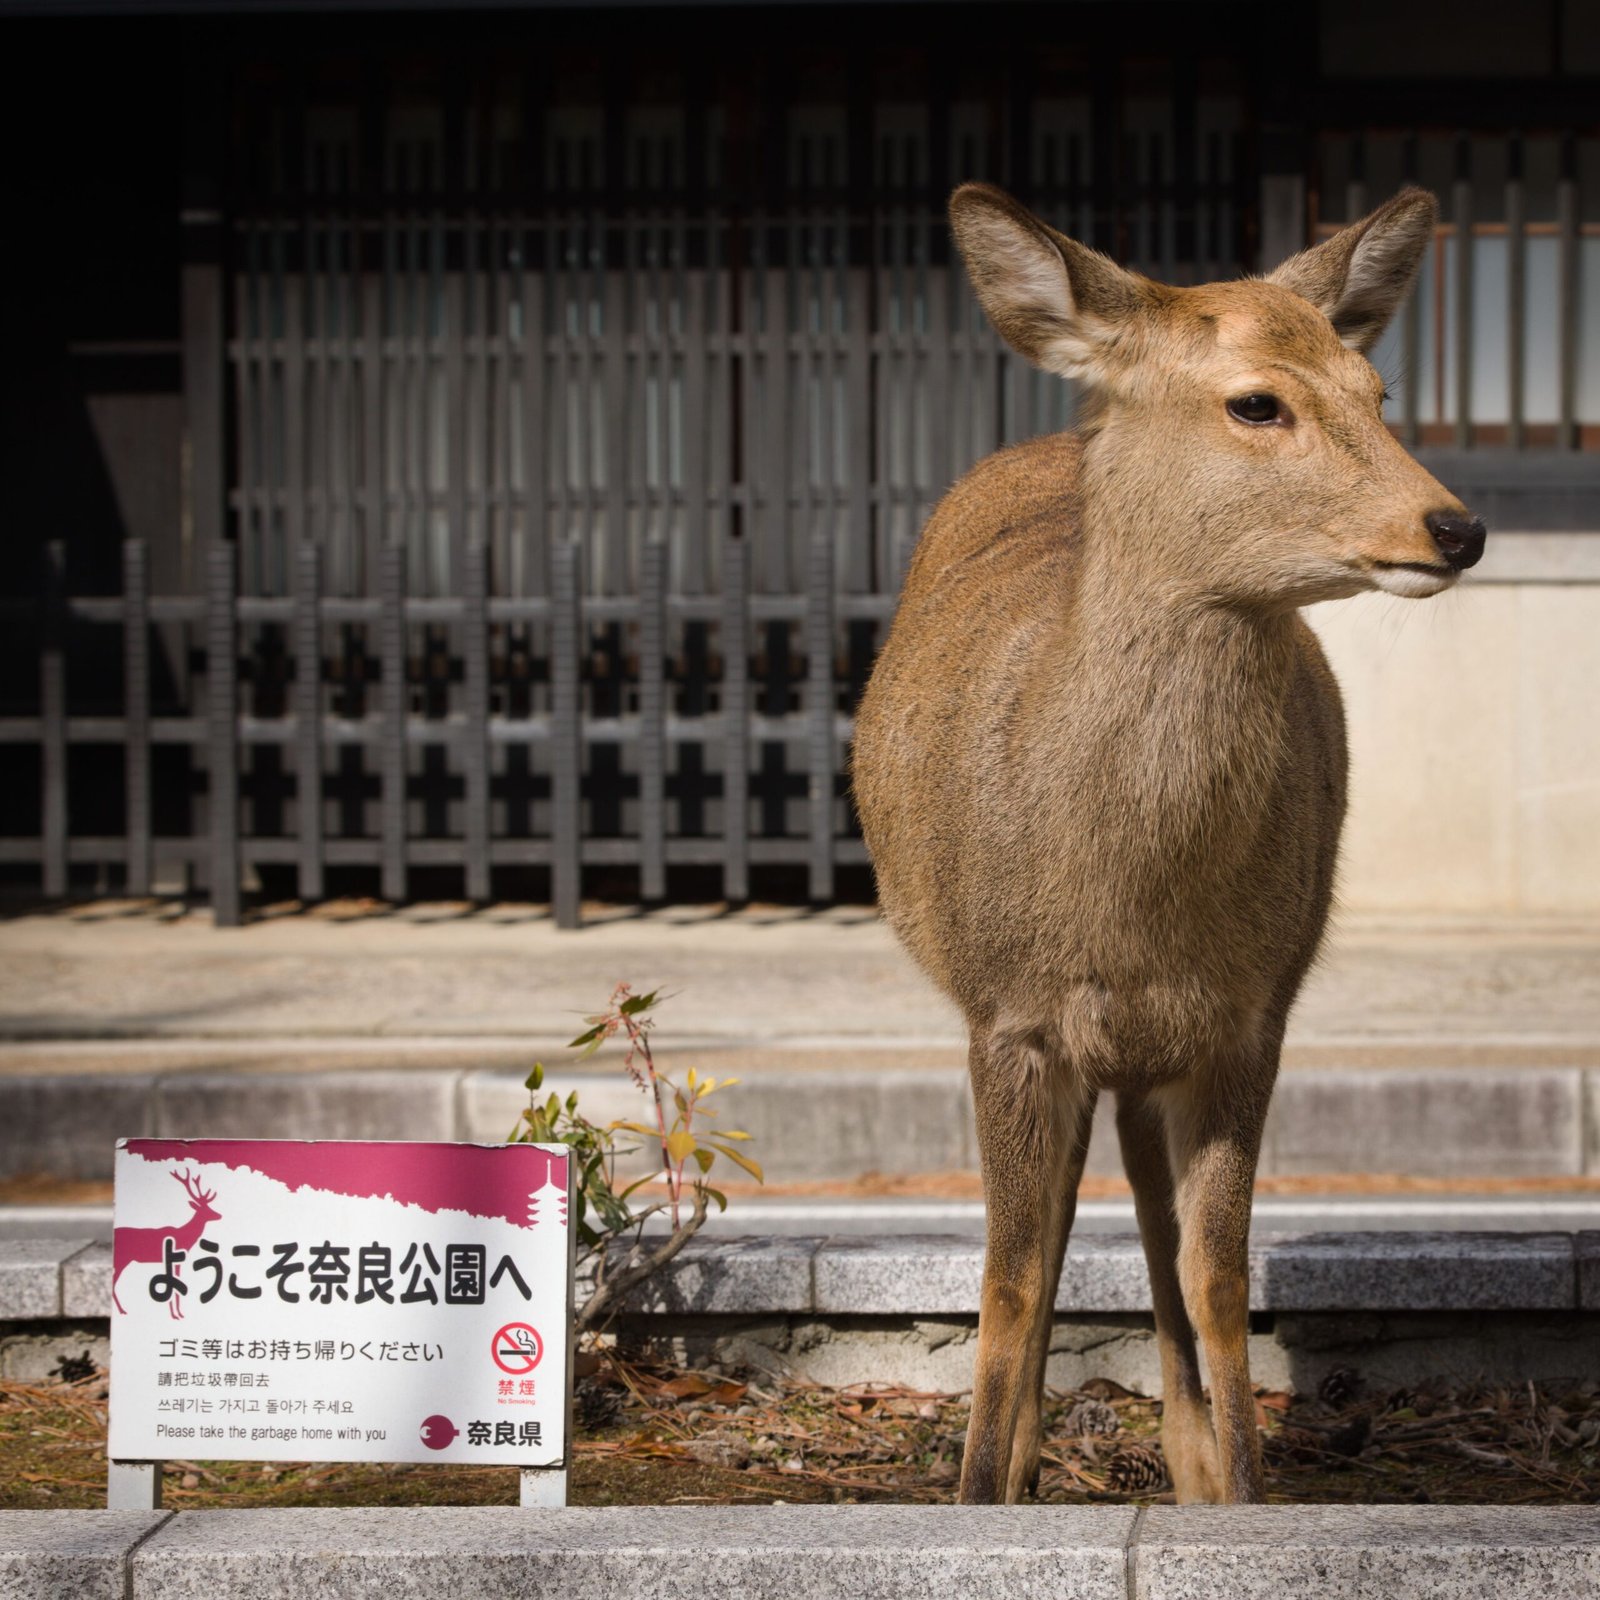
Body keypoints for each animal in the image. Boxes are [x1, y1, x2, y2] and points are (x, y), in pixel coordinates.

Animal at [111, 1167, 221, 1321]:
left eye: (209, 1207)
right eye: (205, 1209)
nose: (219, 1215)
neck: (184, 1236)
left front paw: (177, 1313)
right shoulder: (175, 1260)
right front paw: (176, 1315)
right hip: (122, 1260)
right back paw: (122, 1310)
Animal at [852, 182, 1484, 1505]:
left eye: (1376, 388)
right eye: (1256, 400)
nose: (1455, 527)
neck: (1127, 897)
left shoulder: (1250, 1011)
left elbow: (1217, 1273)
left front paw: (1241, 1490)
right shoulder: (1007, 1010)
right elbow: (1008, 1278)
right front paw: (978, 1495)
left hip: (1161, 1045)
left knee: (1146, 1214)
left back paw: (1183, 1455)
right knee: (1053, 1233)